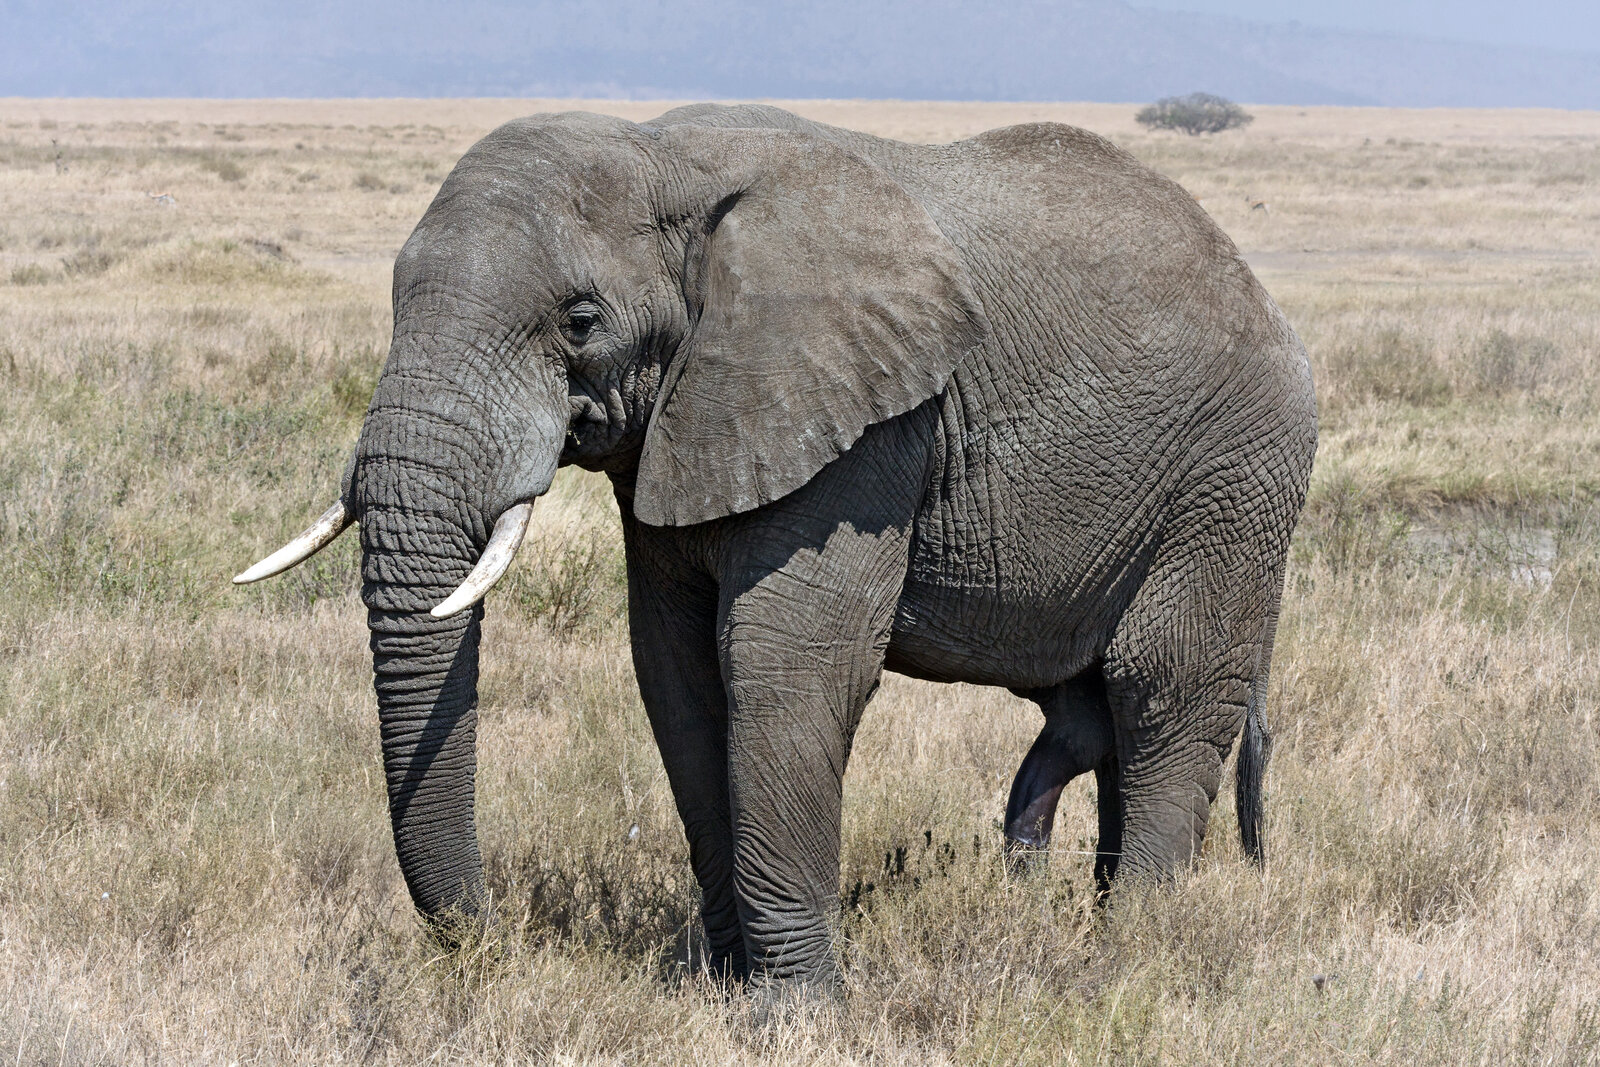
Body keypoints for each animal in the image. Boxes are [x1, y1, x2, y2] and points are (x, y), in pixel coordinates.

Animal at [235, 103, 1317, 993]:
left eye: (579, 321)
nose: (491, 944)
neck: (664, 156)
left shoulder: (868, 425)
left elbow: (782, 665)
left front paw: (793, 1010)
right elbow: (676, 673)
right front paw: (721, 985)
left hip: (1233, 479)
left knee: (1160, 693)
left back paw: (1128, 956)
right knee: (1091, 713)